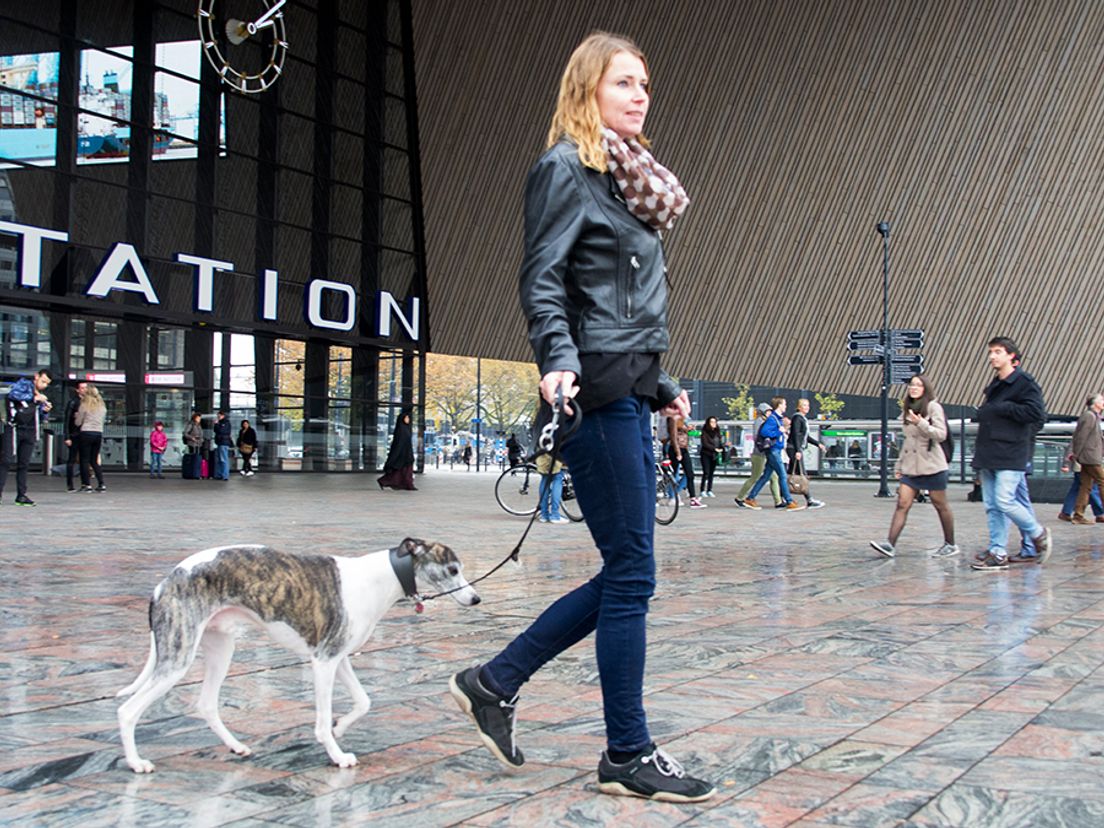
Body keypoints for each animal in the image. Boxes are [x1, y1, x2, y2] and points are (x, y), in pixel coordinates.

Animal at [117, 540, 479, 777]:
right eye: (452, 570)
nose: (476, 599)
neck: (383, 576)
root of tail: (164, 583)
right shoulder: (323, 661)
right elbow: (321, 720)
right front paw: (337, 754)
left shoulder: (339, 657)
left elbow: (364, 701)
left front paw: (341, 726)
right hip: (177, 658)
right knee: (127, 710)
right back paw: (136, 763)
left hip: (220, 648)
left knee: (206, 704)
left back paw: (236, 747)